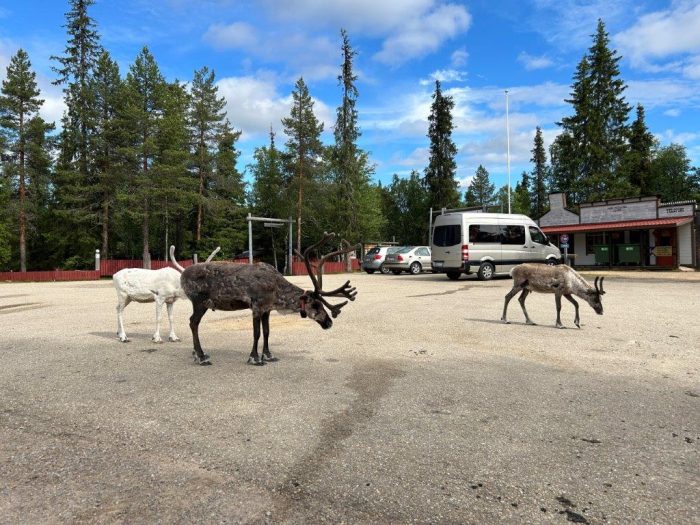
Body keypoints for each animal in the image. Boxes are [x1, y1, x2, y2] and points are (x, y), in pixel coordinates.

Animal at [170, 233, 358, 365]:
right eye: (315, 304)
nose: (329, 322)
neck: (276, 291)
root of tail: (183, 274)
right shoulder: (257, 306)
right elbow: (257, 333)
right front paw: (254, 358)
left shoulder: (267, 309)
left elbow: (267, 332)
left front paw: (268, 355)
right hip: (199, 302)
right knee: (193, 322)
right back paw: (201, 357)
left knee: (193, 323)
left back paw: (198, 354)